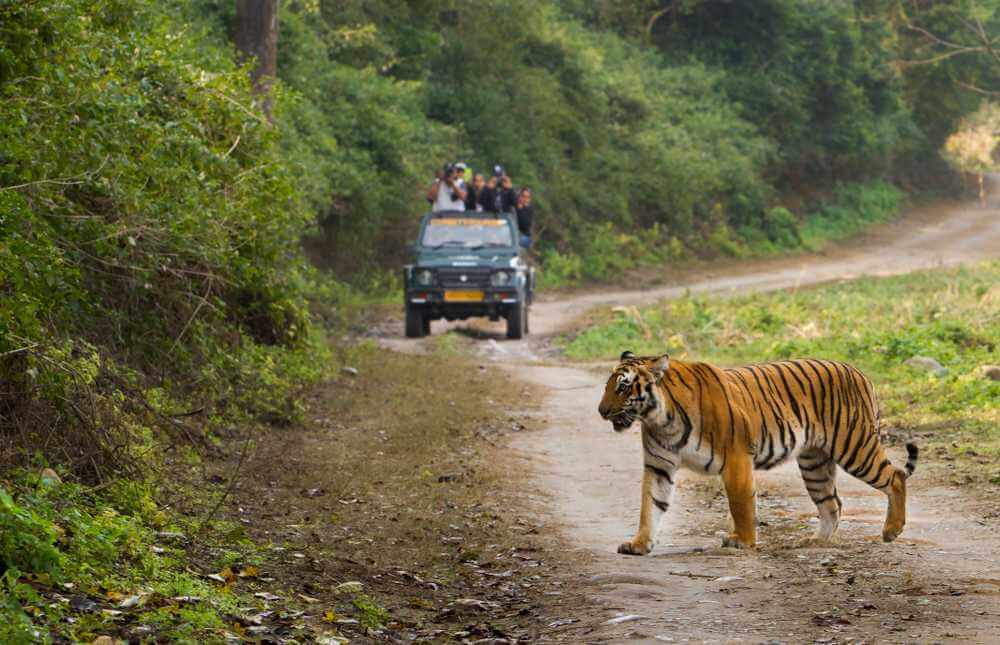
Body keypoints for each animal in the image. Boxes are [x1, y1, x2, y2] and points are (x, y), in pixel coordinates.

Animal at [597, 351, 918, 555]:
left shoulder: (736, 458)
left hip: (855, 446)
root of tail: (860, 372)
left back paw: (891, 530)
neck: (660, 419)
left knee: (895, 476)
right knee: (832, 503)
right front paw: (639, 544)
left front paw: (743, 540)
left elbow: (740, 503)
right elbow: (650, 506)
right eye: (608, 386)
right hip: (814, 463)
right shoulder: (659, 466)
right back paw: (815, 542)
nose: (601, 411)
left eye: (624, 387)